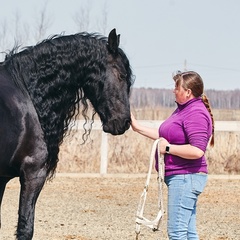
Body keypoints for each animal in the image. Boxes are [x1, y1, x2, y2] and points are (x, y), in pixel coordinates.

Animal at [0, 29, 134, 239]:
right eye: (122, 75)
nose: (124, 122)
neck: (26, 91)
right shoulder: (33, 173)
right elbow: (26, 228)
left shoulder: (1, 179)